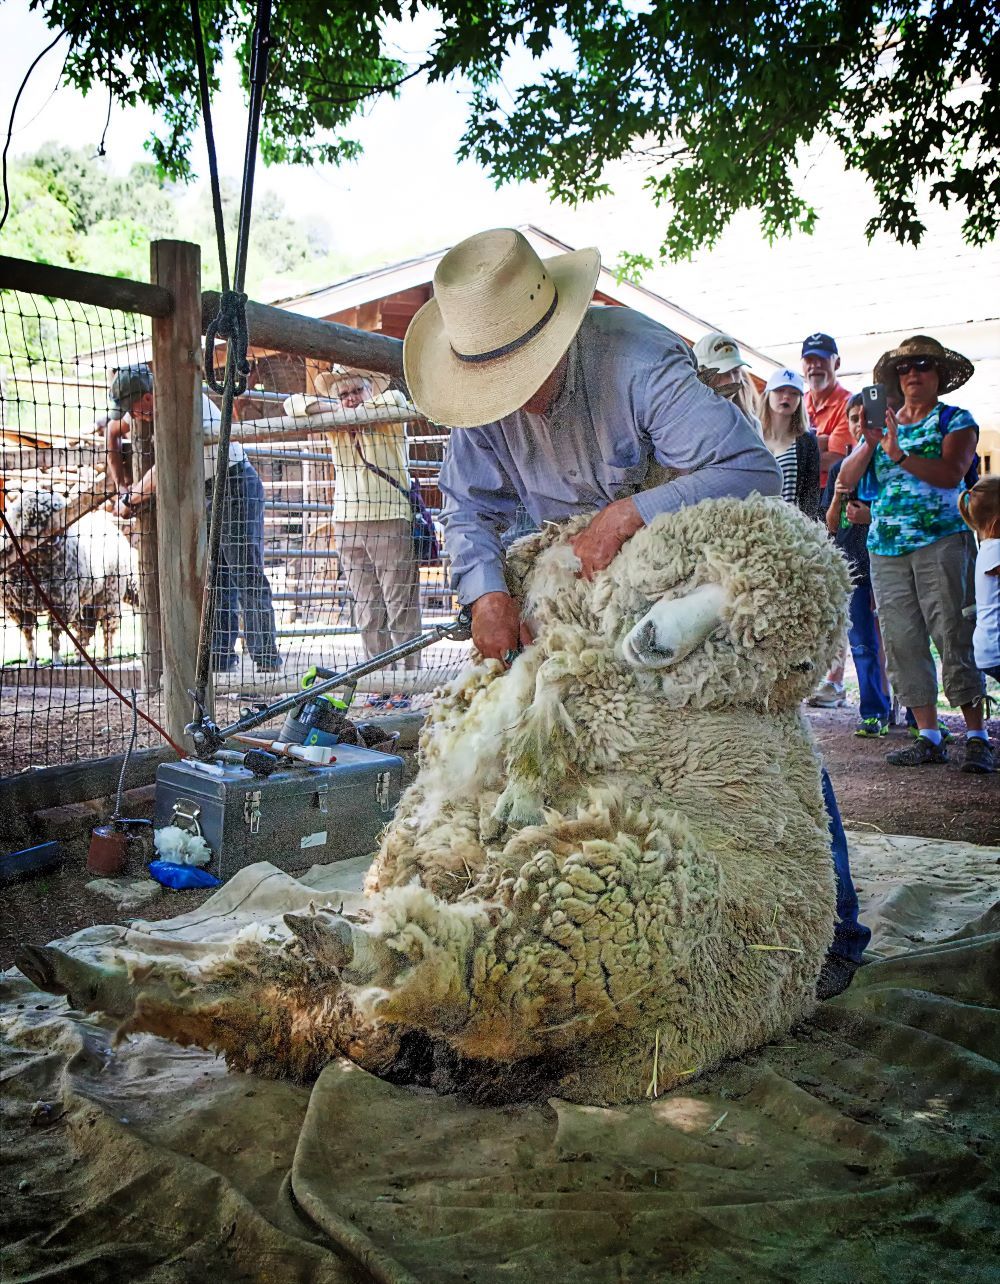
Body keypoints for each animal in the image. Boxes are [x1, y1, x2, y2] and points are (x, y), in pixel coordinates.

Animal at [17, 495, 852, 1109]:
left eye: (741, 640)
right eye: (693, 575)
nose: (652, 642)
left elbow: (538, 720)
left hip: (620, 905)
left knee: (477, 977)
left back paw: (356, 950)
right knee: (285, 1002)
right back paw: (92, 976)